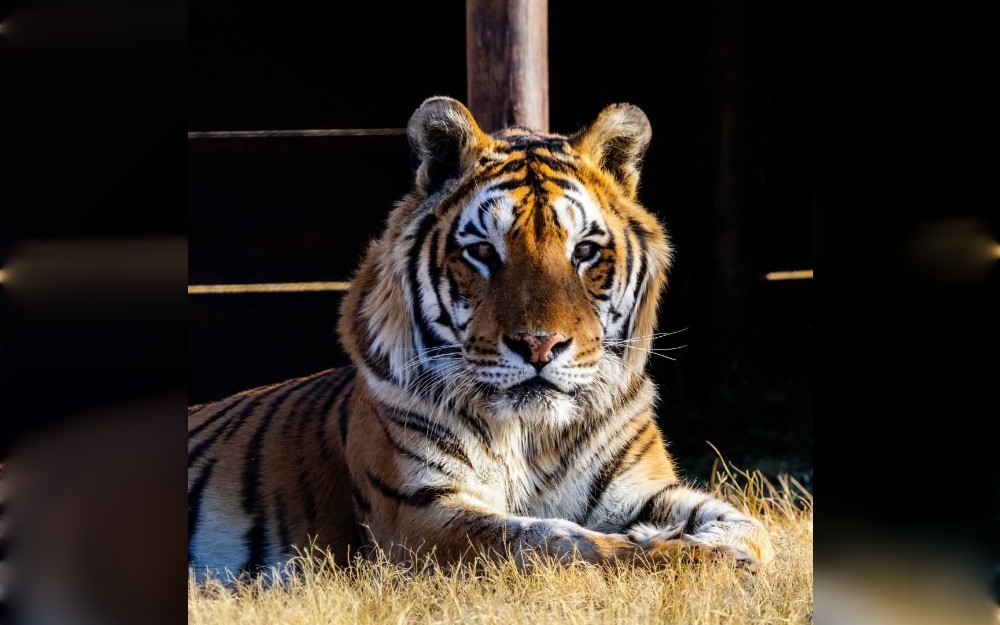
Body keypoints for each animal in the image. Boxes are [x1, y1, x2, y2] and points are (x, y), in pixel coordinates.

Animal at [187, 96, 774, 581]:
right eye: (483, 253)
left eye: (584, 251)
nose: (540, 346)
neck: (536, 437)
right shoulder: (419, 511)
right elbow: (553, 540)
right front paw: (687, 555)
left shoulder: (644, 487)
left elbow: (750, 526)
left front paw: (709, 544)